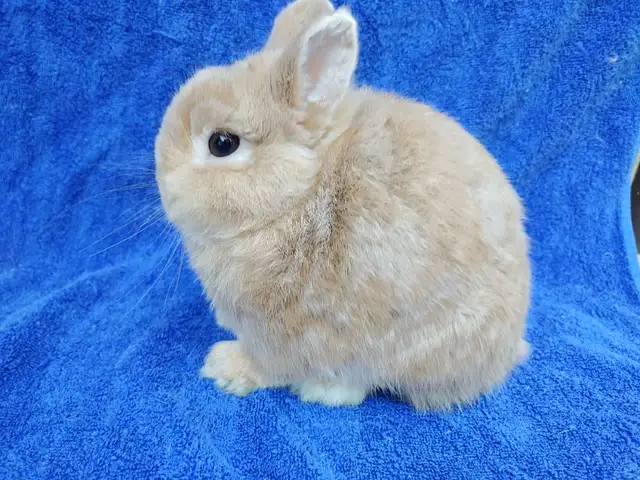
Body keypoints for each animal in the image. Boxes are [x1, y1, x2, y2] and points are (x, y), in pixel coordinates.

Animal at [154, 0, 531, 410]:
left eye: (222, 143)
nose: (164, 187)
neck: (294, 201)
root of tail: (508, 351)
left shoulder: (277, 336)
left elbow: (268, 367)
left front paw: (223, 366)